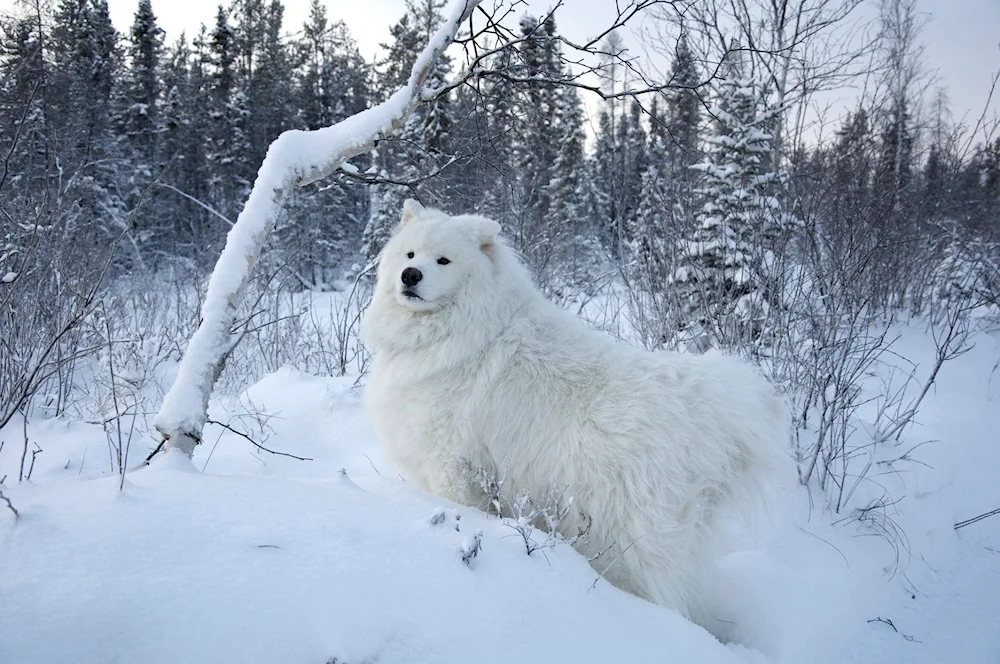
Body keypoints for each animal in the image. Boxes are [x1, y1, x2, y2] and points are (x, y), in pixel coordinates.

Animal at [362, 200, 788, 620]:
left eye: (444, 260)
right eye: (410, 254)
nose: (410, 275)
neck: (459, 329)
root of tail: (706, 405)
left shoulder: (452, 465)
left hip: (621, 534)